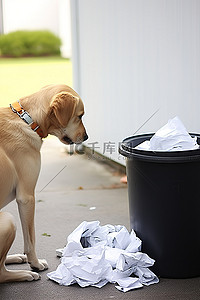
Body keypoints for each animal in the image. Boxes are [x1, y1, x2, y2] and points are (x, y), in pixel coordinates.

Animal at [0, 84, 88, 282]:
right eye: (80, 116)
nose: (86, 137)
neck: (27, 120)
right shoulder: (26, 198)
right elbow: (31, 239)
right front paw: (35, 263)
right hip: (8, 219)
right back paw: (25, 273)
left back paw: (14, 258)